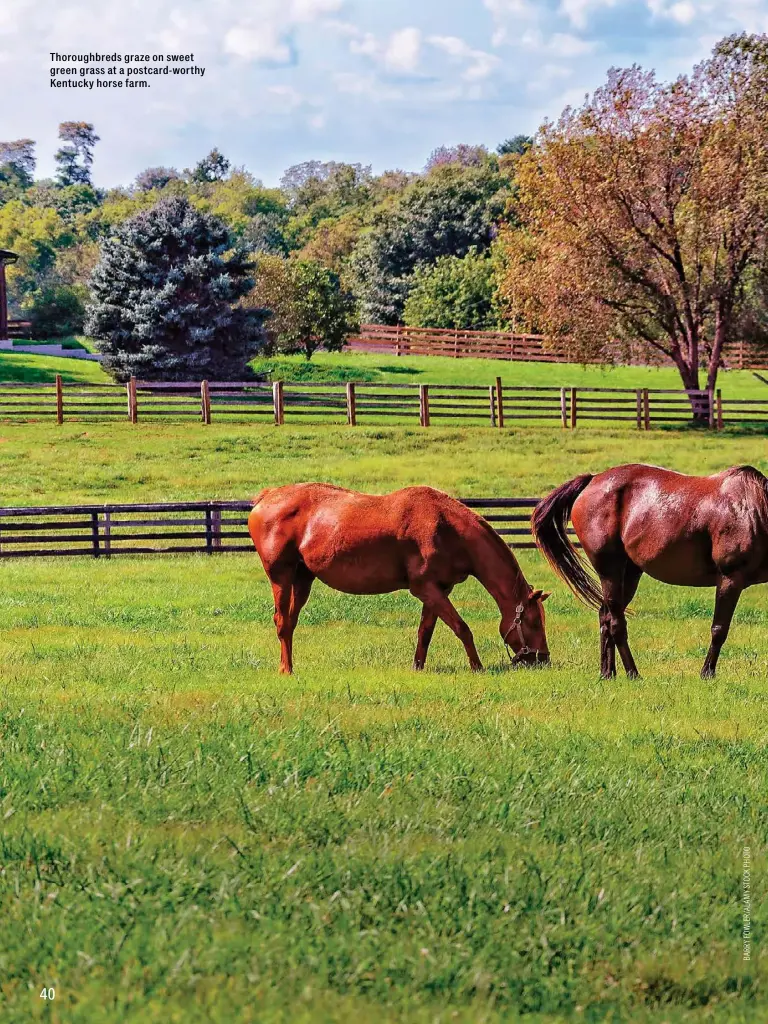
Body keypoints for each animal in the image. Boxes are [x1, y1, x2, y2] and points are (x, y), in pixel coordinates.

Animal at [249, 483, 548, 675]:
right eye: (533, 621)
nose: (542, 659)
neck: (446, 527)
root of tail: (266, 497)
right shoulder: (425, 588)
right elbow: (462, 628)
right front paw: (477, 667)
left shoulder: (438, 590)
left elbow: (425, 632)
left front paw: (418, 667)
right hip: (281, 578)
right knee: (282, 622)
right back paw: (286, 669)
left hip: (303, 580)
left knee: (290, 623)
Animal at [532, 466, 768, 679]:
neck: (755, 509)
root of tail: (592, 480)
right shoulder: (730, 579)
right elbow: (719, 629)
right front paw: (707, 673)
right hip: (610, 572)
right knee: (616, 623)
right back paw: (632, 673)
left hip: (629, 575)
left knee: (605, 616)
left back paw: (607, 673)